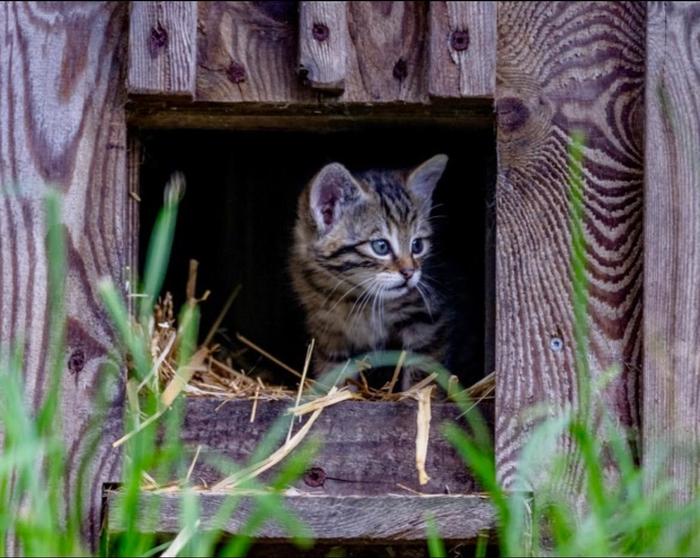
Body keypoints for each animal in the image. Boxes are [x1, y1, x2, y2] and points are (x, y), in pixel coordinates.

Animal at [292, 155, 452, 384]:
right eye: (381, 246)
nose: (409, 273)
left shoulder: (427, 321)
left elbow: (424, 371)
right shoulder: (328, 330)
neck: (355, 296)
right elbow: (335, 372)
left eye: (417, 245)